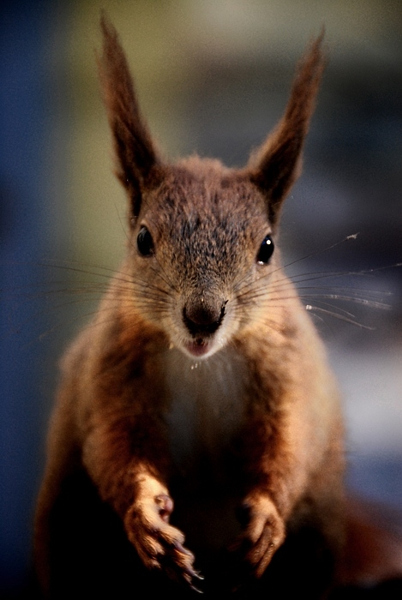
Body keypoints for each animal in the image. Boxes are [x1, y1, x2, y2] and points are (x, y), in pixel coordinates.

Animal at [33, 15, 402, 600]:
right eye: (143, 239)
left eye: (267, 247)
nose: (203, 316)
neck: (202, 364)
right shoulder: (111, 371)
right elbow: (113, 446)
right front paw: (146, 517)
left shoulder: (289, 370)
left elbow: (291, 442)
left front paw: (268, 517)